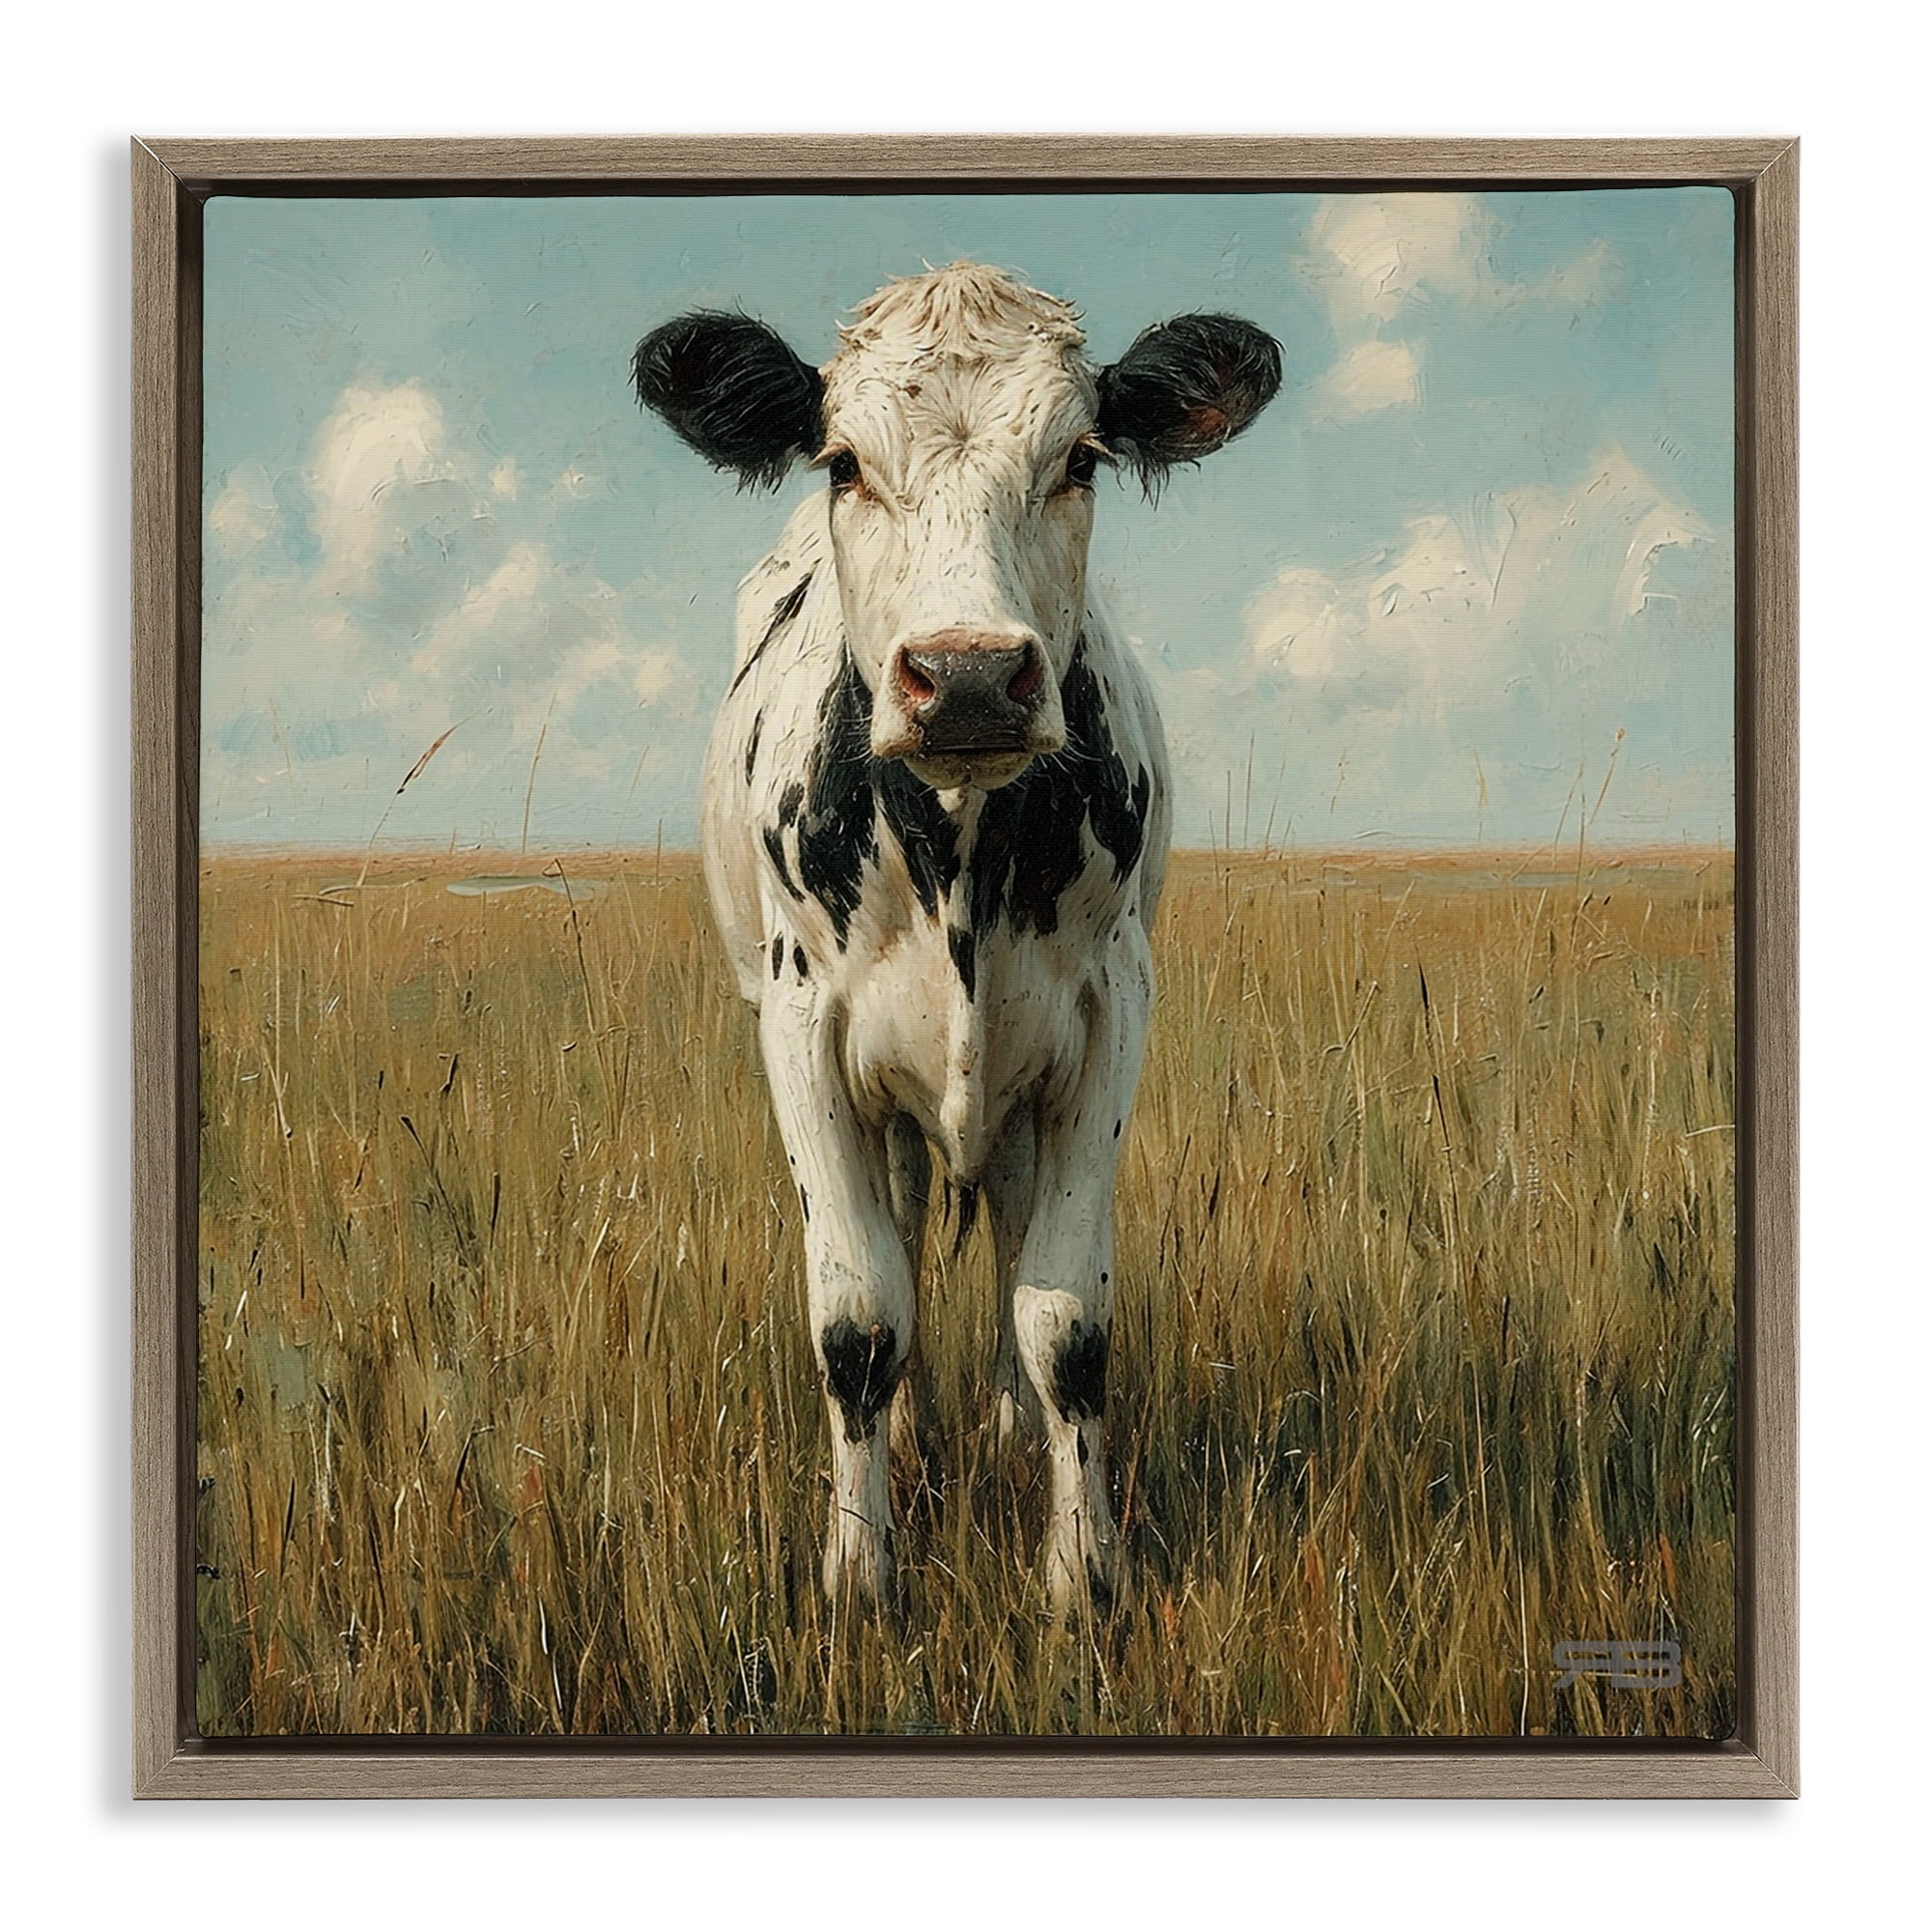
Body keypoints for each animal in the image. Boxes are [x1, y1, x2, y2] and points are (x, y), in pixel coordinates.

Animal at [633, 264, 1279, 1615]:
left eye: (1080, 458)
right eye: (841, 462)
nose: (969, 675)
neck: (959, 856)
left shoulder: (1109, 1011)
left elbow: (1063, 1316)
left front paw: (1082, 1572)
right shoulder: (798, 1023)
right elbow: (858, 1313)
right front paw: (858, 1572)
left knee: (1008, 1237)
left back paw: (999, 1424)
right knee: (903, 1227)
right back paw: (922, 1433)